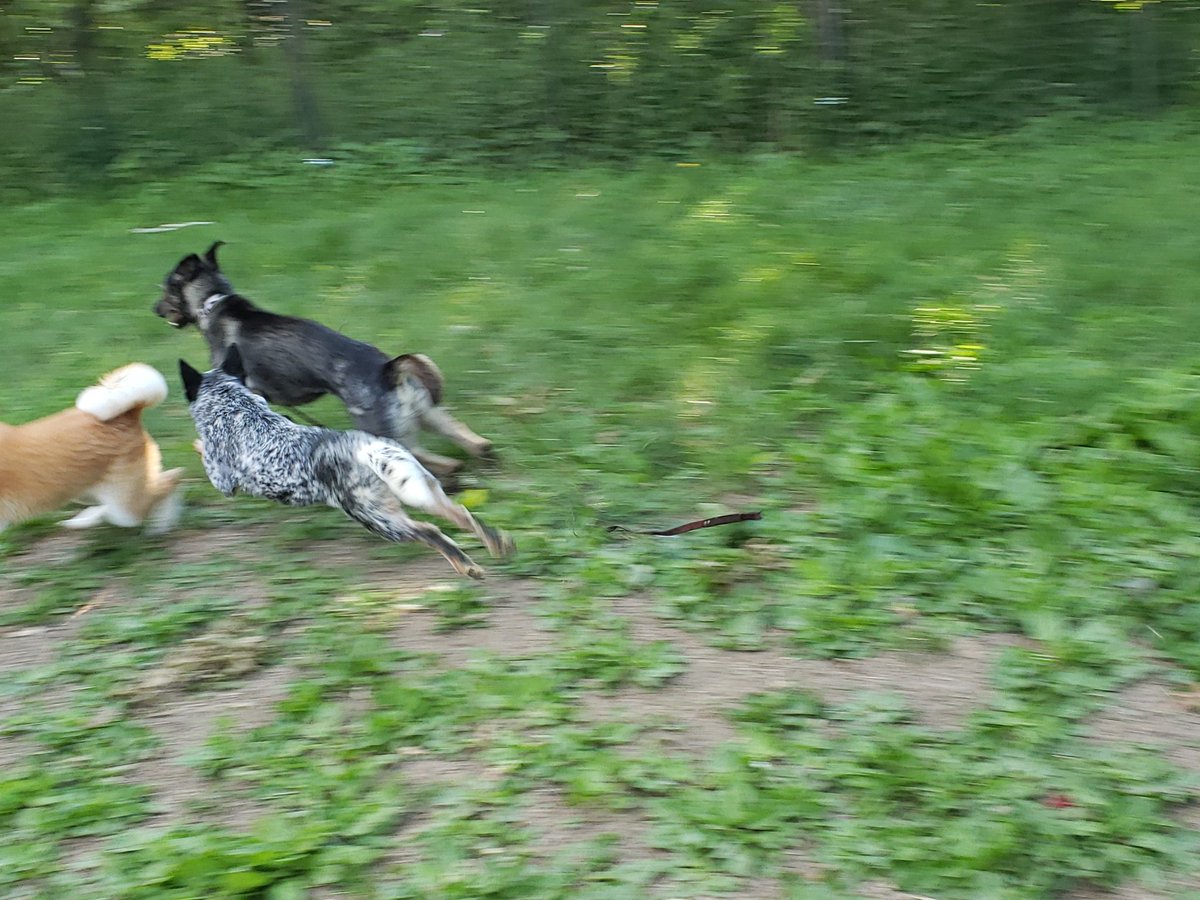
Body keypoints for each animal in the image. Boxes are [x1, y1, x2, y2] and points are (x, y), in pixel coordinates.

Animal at [1, 364, 183, 535]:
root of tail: (129, 415)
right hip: (83, 490)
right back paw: (83, 520)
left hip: (124, 506)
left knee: (171, 480)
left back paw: (159, 526)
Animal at [156, 243, 492, 475]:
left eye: (167, 287)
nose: (154, 309)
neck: (213, 302)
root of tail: (387, 370)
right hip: (429, 413)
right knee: (472, 441)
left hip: (385, 433)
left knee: (427, 459)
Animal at [180, 345, 513, 578]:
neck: (236, 406)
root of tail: (367, 449)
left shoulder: (223, 482)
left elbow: (202, 451)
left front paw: (195, 443)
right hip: (421, 491)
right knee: (462, 514)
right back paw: (498, 543)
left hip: (376, 518)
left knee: (430, 532)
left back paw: (468, 567)